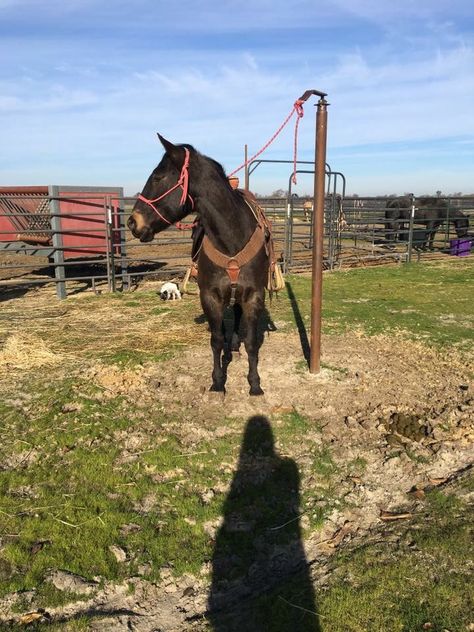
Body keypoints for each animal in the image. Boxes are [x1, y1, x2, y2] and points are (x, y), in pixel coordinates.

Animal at [129, 136, 270, 396]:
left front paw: (255, 384)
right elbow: (215, 340)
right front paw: (218, 382)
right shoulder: (210, 295)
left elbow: (251, 342)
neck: (232, 239)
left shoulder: (254, 295)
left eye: (158, 177)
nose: (132, 222)